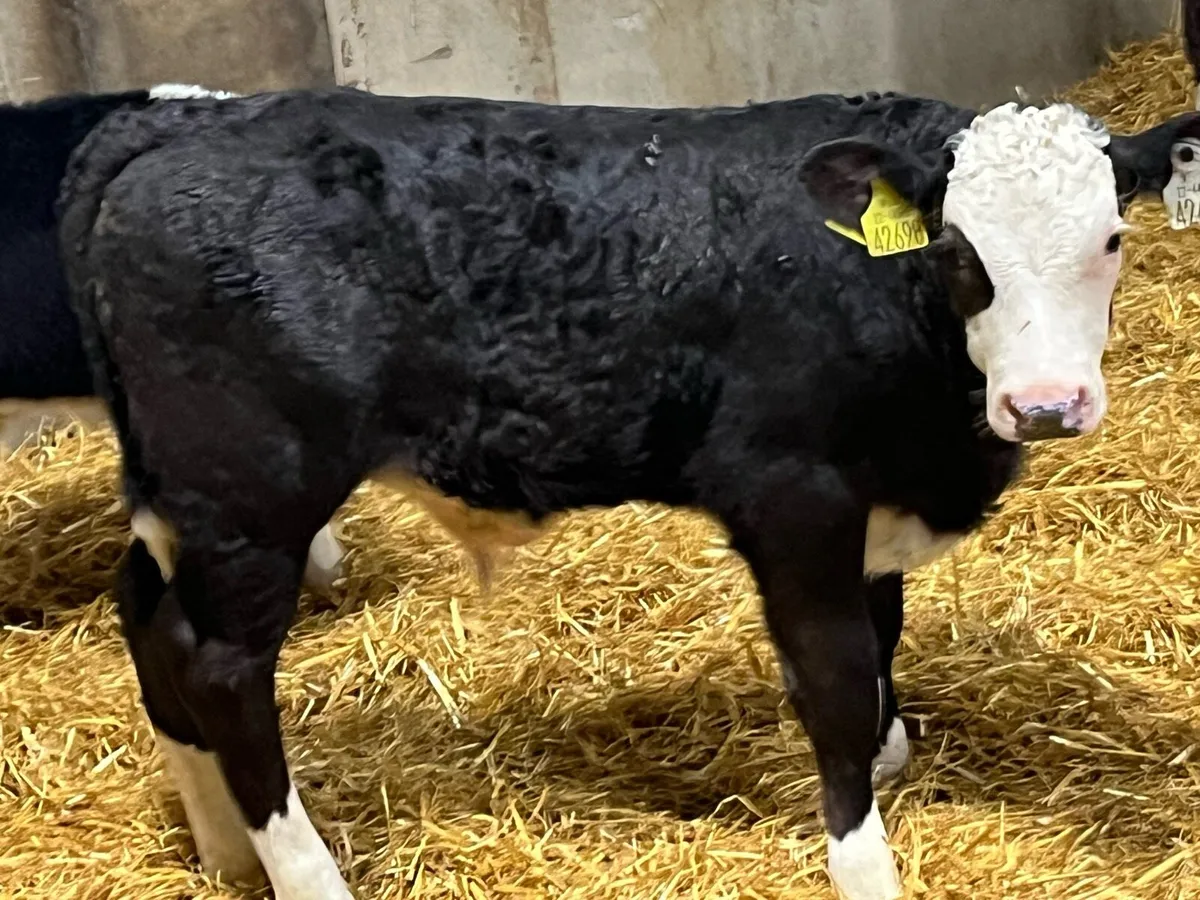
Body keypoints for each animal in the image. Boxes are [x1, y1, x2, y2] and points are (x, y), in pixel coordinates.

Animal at [56, 87, 1200, 900]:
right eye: (962, 251)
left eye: (1110, 239)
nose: (1045, 405)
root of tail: (183, 122)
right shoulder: (793, 499)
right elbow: (836, 683)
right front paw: (864, 864)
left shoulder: (874, 505)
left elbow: (884, 648)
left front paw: (886, 766)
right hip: (255, 497)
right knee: (221, 669)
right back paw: (307, 877)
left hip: (179, 504)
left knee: (147, 621)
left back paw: (223, 851)